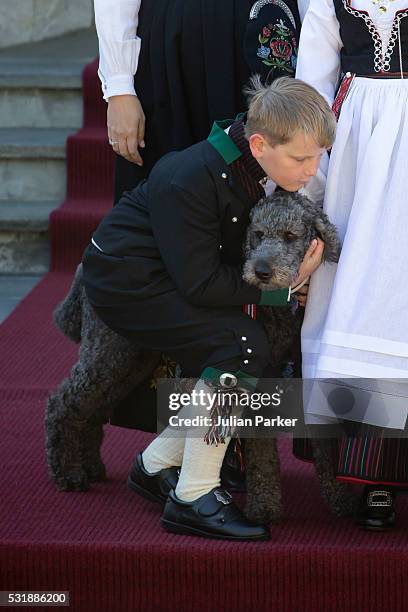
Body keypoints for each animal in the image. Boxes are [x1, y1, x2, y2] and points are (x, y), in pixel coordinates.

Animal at [43, 191, 356, 520]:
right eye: (257, 234)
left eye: (290, 236)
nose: (261, 271)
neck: (285, 311)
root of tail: (83, 267)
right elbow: (263, 459)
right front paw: (265, 508)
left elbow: (326, 446)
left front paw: (341, 499)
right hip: (108, 352)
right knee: (63, 402)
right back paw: (68, 473)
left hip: (128, 362)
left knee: (92, 409)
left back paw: (91, 466)